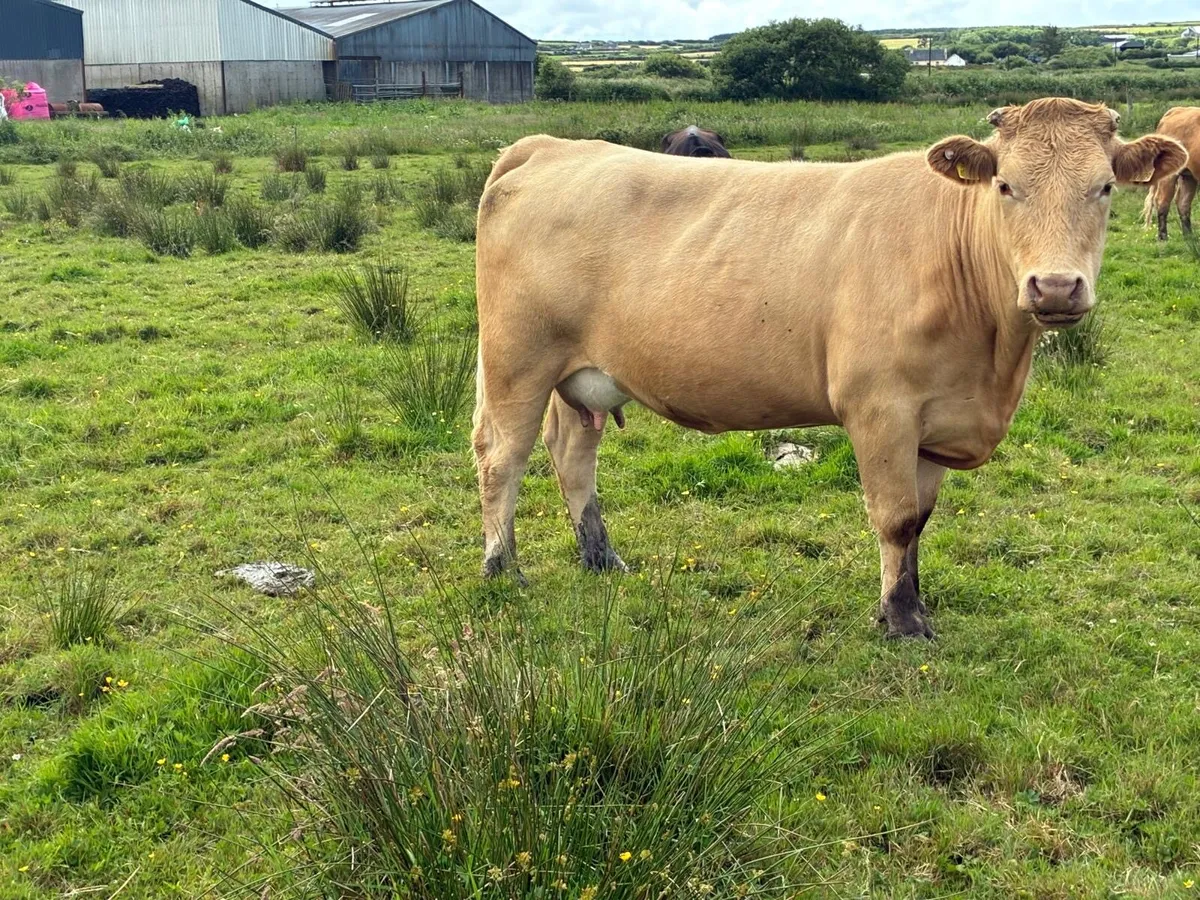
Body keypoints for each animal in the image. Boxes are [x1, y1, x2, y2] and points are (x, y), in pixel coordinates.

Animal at [471, 98, 1185, 639]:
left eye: (1104, 188)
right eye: (1006, 186)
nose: (1056, 287)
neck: (992, 364)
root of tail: (552, 146)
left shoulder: (934, 420)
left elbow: (920, 521)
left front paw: (911, 601)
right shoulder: (881, 409)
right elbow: (894, 517)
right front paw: (901, 621)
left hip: (582, 374)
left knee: (572, 454)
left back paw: (601, 558)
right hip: (517, 359)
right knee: (502, 456)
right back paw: (503, 568)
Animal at [1142, 106, 1200, 240]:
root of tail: (1178, 109)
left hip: (1189, 175)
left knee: (1183, 203)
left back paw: (1189, 236)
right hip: (1169, 174)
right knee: (1162, 201)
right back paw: (1163, 237)